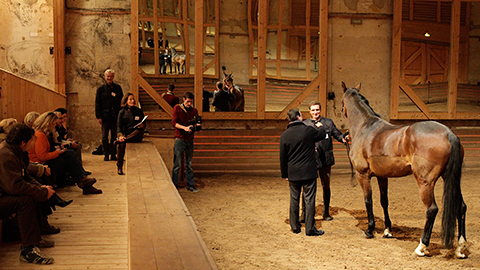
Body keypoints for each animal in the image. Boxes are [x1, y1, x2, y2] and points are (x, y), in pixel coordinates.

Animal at [344, 81, 466, 258]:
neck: (365, 127)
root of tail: (449, 133)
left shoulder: (363, 175)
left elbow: (368, 200)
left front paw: (370, 230)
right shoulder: (382, 176)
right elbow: (384, 201)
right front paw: (387, 231)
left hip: (425, 182)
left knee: (431, 209)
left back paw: (422, 246)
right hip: (452, 178)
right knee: (461, 206)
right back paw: (460, 248)